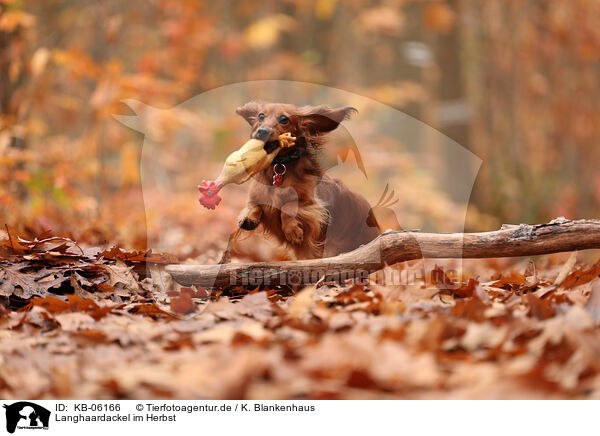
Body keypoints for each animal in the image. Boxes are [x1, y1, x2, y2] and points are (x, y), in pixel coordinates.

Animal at [220, 101, 380, 262]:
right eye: (261, 116)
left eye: (284, 119)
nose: (262, 131)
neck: (280, 165)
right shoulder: (257, 197)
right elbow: (254, 206)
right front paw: (248, 219)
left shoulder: (312, 205)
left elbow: (288, 207)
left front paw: (292, 231)